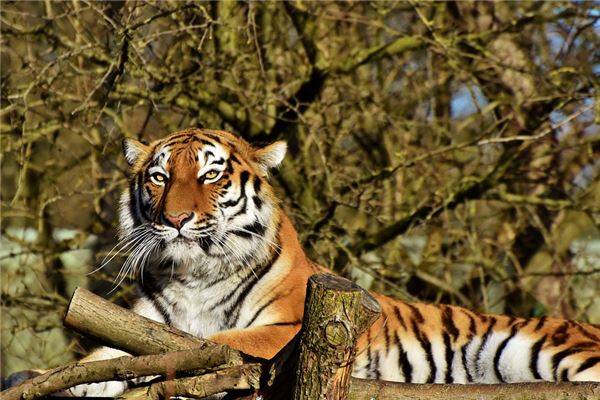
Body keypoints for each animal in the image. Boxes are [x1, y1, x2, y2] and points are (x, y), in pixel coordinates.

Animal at [7, 128, 596, 396]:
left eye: (210, 175)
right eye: (159, 177)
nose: (174, 219)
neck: (192, 277)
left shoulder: (284, 330)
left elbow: (207, 344)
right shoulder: (135, 323)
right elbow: (96, 357)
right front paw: (43, 377)